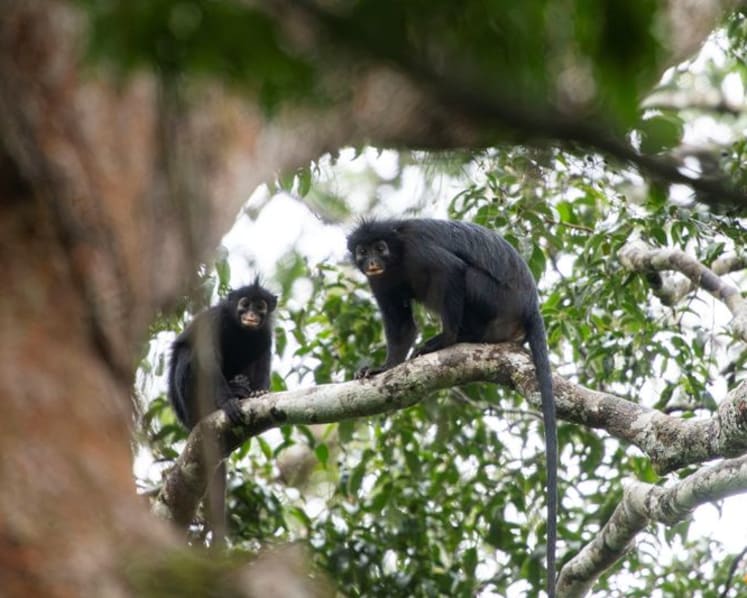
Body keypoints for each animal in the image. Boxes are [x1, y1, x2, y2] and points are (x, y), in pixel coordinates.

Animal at [167, 277, 277, 542]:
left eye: (260, 306)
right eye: (244, 303)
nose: (251, 315)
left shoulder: (265, 332)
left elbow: (263, 355)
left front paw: (259, 393)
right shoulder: (214, 321)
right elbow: (208, 360)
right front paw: (227, 402)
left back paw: (243, 388)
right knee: (188, 353)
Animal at [347, 218, 557, 597]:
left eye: (380, 248)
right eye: (363, 250)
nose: (371, 260)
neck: (397, 259)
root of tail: (530, 305)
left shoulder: (417, 250)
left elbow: (451, 270)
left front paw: (444, 340)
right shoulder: (380, 281)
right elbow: (401, 327)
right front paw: (383, 368)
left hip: (496, 300)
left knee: (467, 276)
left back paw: (457, 338)